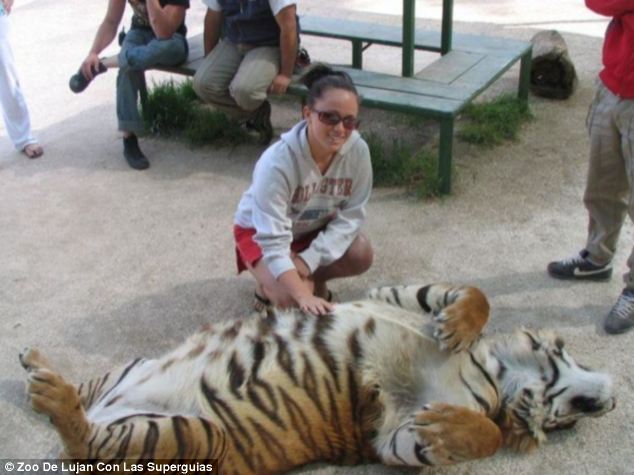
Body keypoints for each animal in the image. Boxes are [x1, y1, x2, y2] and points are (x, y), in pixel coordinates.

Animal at [19, 284, 612, 474]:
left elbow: (482, 434)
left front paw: (447, 427)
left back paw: (50, 392)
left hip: (194, 435)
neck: (492, 370)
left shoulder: (392, 437)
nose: (609, 400)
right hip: (129, 368)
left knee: (82, 443)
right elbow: (474, 295)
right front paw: (457, 325)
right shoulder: (400, 293)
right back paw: (34, 365)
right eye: (573, 416)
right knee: (80, 401)